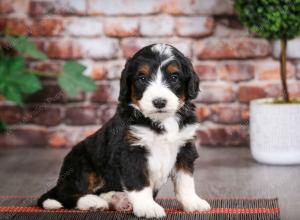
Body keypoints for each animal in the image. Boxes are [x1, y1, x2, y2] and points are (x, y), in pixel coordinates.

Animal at [38, 43, 211, 218]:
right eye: (142, 78)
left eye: (174, 77)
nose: (159, 102)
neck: (160, 121)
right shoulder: (131, 152)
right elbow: (139, 182)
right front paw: (148, 207)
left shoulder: (185, 148)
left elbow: (185, 181)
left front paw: (193, 202)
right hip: (80, 164)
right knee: (66, 194)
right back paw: (93, 202)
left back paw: (117, 200)